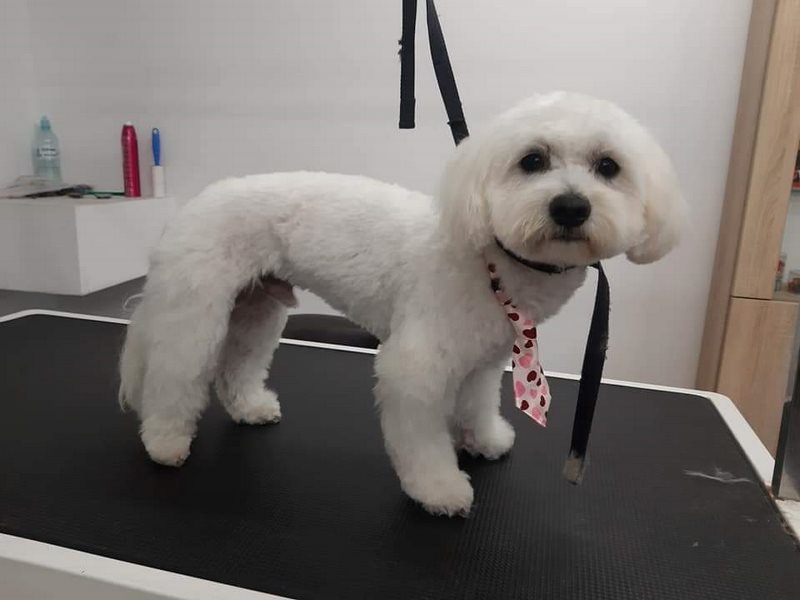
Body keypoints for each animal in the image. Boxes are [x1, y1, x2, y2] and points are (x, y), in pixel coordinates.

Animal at [119, 92, 685, 516]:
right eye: (532, 160)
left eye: (608, 166)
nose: (570, 206)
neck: (493, 255)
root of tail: (193, 205)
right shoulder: (416, 364)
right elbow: (421, 438)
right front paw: (439, 489)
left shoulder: (482, 359)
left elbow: (476, 402)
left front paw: (483, 439)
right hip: (196, 308)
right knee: (173, 374)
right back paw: (164, 442)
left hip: (257, 307)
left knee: (237, 363)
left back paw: (249, 407)